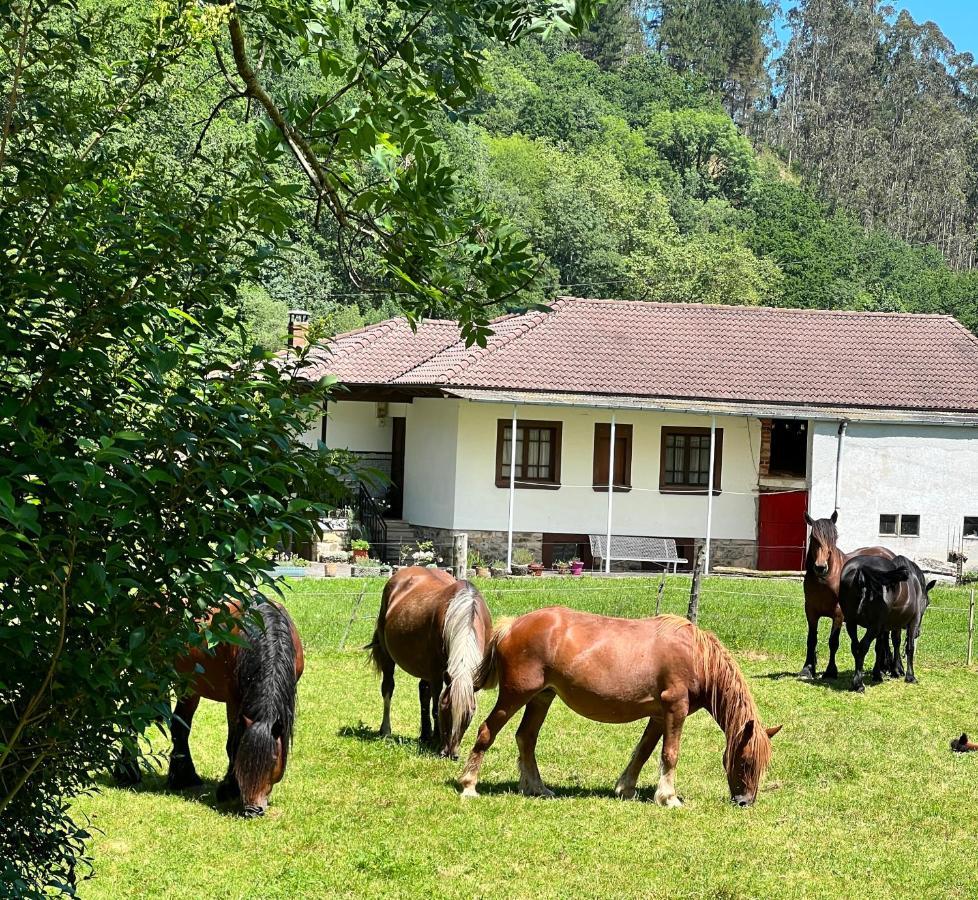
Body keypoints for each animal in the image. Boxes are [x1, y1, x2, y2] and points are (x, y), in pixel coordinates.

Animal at [117, 600, 302, 820]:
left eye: (274, 760)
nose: (252, 810)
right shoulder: (234, 701)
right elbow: (233, 745)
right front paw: (229, 789)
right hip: (145, 675)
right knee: (133, 719)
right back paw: (128, 773)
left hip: (189, 687)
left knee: (179, 727)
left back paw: (183, 778)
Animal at [366, 568, 488, 760]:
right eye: (446, 709)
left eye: (469, 714)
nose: (451, 753)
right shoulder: (437, 673)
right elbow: (434, 706)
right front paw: (437, 740)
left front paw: (432, 737)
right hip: (389, 658)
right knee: (388, 689)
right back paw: (386, 731)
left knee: (423, 692)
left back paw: (424, 734)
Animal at [462, 608, 780, 804]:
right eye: (745, 761)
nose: (745, 802)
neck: (696, 657)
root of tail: (512, 626)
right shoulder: (675, 708)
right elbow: (670, 753)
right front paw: (669, 797)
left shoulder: (659, 715)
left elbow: (644, 752)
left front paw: (626, 788)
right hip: (515, 696)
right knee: (486, 731)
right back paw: (469, 785)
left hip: (541, 698)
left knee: (526, 738)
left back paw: (537, 787)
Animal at [800, 510, 892, 680]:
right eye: (813, 538)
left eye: (833, 538)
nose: (821, 567)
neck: (826, 580)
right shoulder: (811, 611)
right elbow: (812, 639)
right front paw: (807, 669)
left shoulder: (838, 614)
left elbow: (833, 642)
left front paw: (831, 671)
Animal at [836, 556, 928, 696]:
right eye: (927, 603)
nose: (919, 632)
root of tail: (861, 569)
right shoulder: (913, 622)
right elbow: (909, 648)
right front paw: (909, 676)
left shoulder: (885, 627)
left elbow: (882, 647)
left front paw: (880, 673)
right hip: (873, 627)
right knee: (862, 647)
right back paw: (858, 684)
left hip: (852, 624)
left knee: (855, 647)